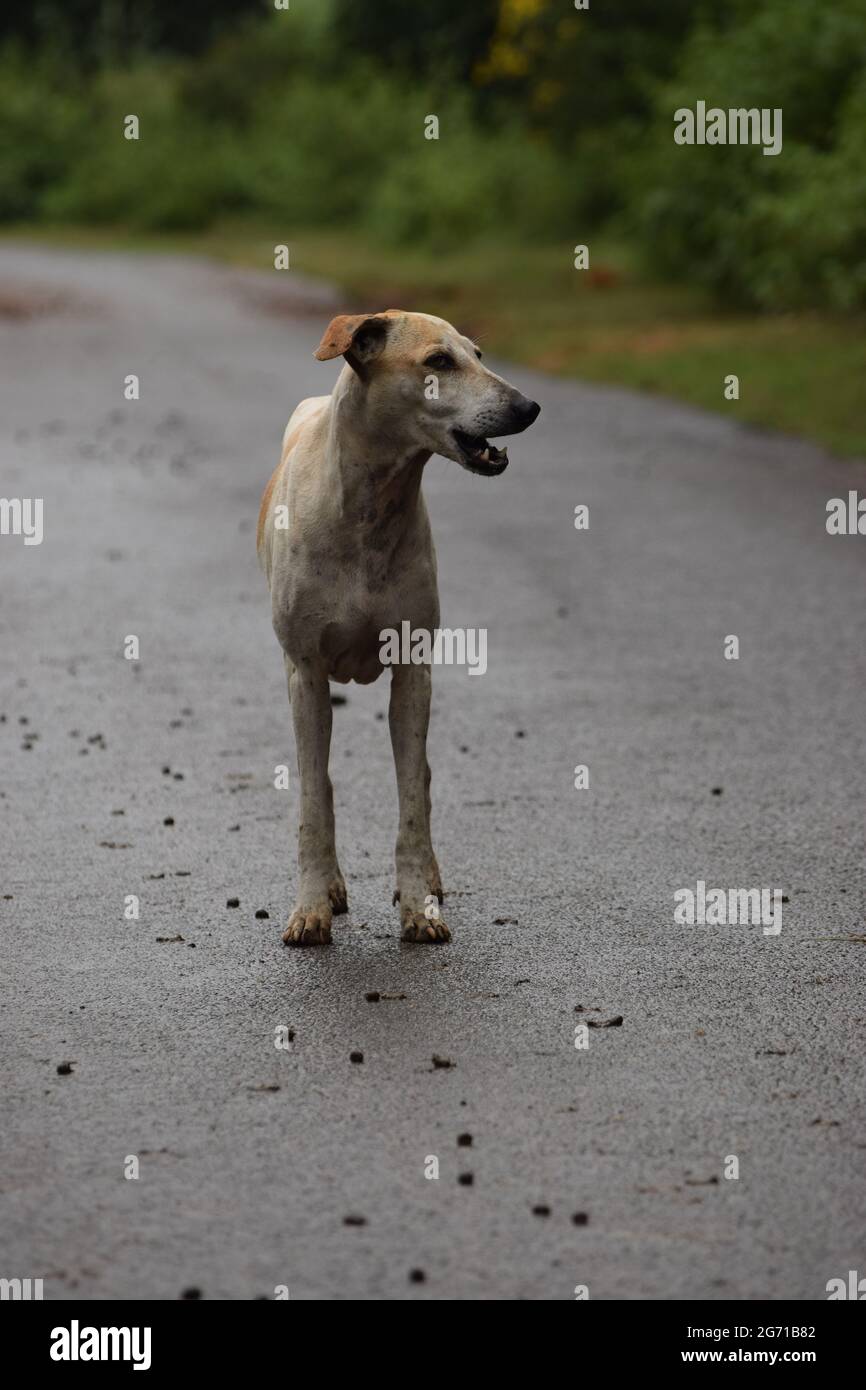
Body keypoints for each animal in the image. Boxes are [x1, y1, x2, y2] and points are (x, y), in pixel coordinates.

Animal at [257, 314, 539, 945]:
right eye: (438, 361)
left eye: (478, 354)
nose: (529, 406)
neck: (369, 508)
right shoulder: (304, 671)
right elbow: (313, 799)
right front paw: (310, 908)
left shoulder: (414, 670)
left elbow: (412, 792)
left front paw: (418, 906)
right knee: (322, 780)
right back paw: (332, 888)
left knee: (423, 779)